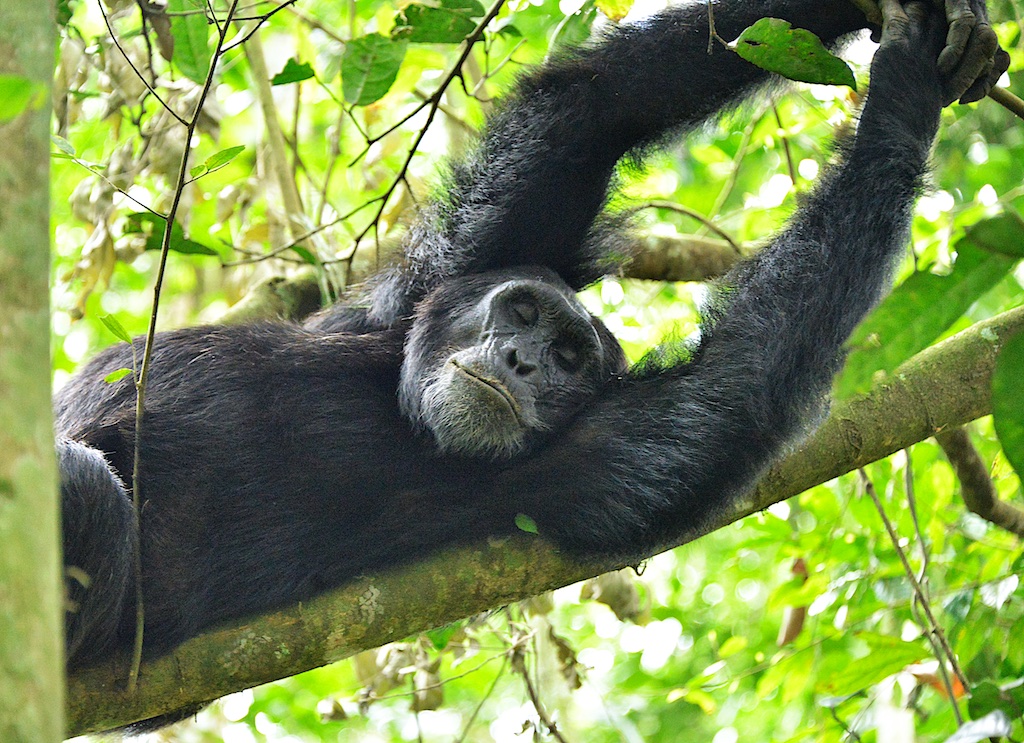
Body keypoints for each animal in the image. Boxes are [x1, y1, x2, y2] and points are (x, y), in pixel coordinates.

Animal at [54, 0, 999, 675]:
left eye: (570, 359)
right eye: (522, 315)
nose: (522, 359)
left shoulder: (594, 458)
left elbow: (733, 386)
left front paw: (904, 96)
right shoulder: (468, 262)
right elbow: (596, 108)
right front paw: (932, 35)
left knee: (85, 489)